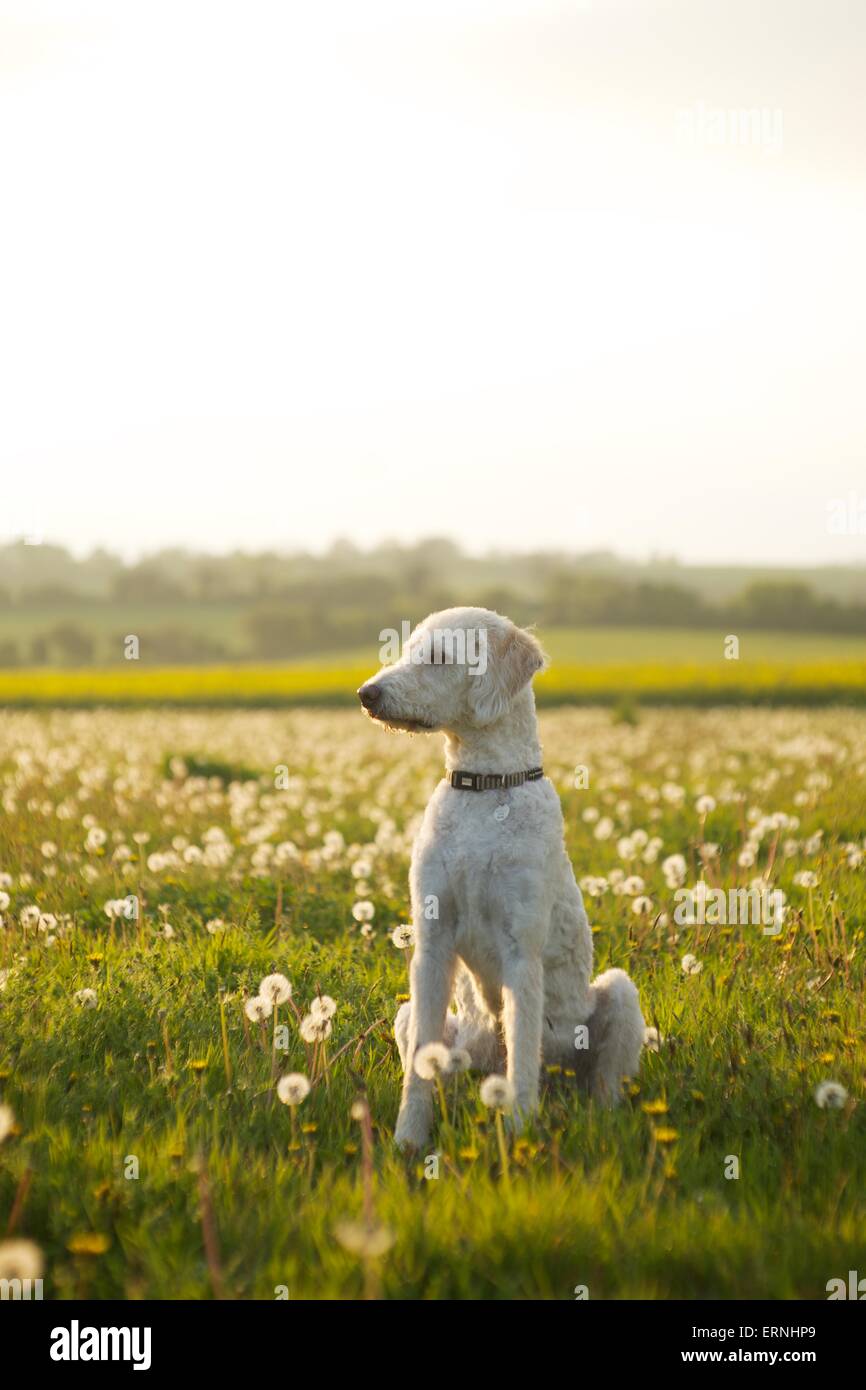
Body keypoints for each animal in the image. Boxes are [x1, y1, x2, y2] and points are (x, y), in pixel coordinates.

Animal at [355, 608, 647, 1150]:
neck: (485, 789)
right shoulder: (432, 945)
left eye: (440, 657)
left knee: (601, 1083)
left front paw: (519, 1132)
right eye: (408, 650)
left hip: (617, 995)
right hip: (429, 1026)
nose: (367, 693)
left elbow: (523, 1061)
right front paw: (409, 1140)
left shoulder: (521, 952)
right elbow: (418, 1070)